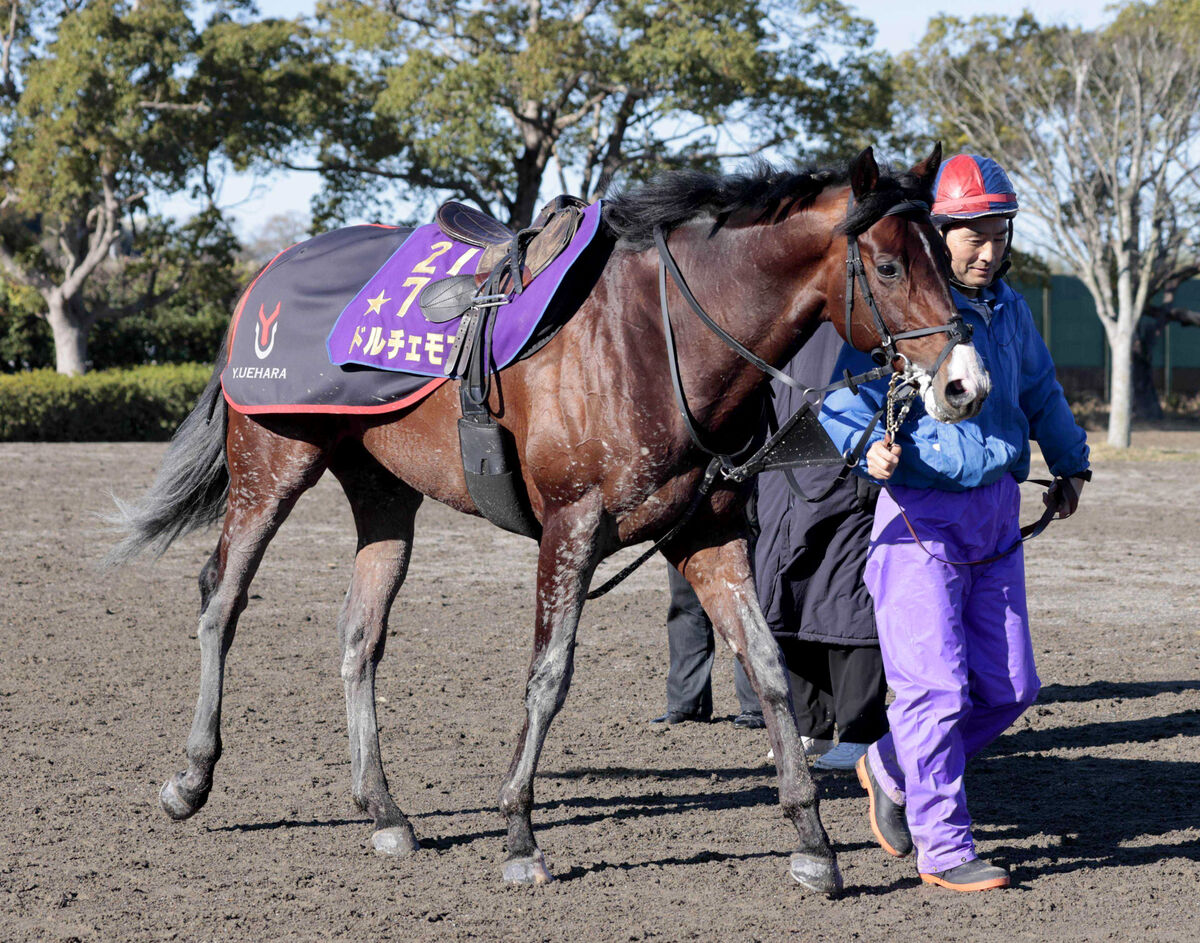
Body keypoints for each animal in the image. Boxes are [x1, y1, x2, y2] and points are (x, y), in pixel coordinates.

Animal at [105, 143, 984, 892]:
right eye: (888, 263)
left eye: (947, 260)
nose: (964, 383)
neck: (655, 337)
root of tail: (267, 276)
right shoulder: (572, 526)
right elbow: (548, 675)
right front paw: (520, 834)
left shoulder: (708, 532)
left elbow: (768, 666)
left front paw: (812, 842)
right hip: (272, 464)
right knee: (220, 602)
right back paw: (191, 777)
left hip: (383, 491)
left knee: (359, 636)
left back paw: (384, 810)